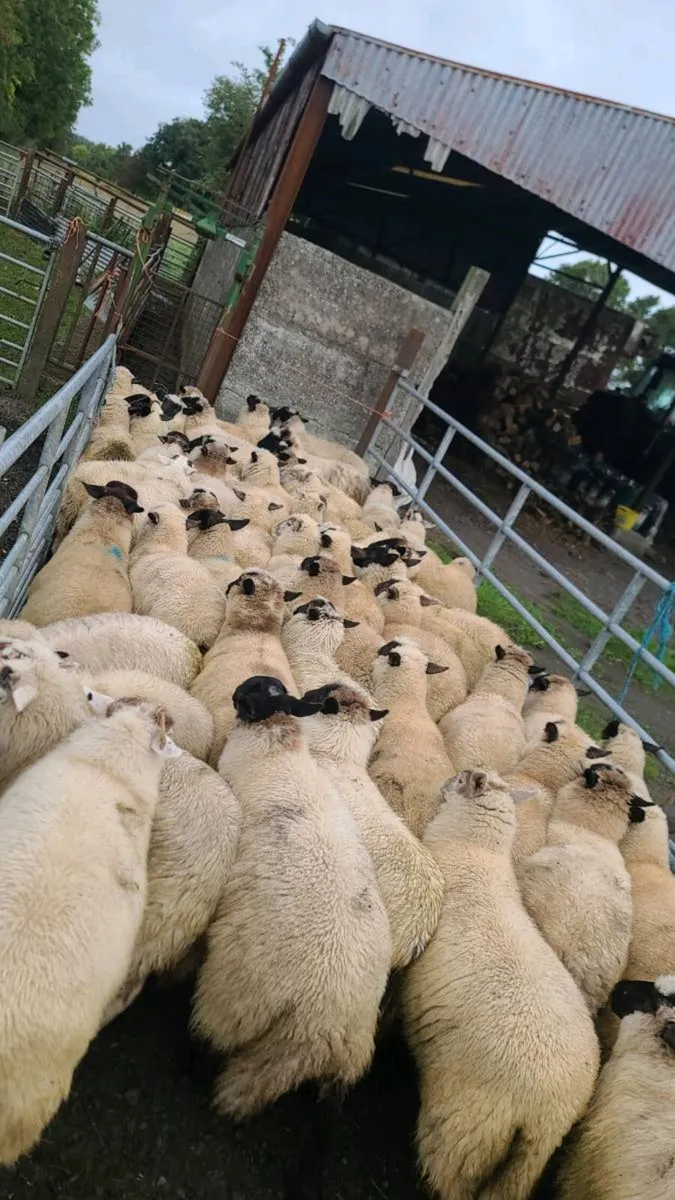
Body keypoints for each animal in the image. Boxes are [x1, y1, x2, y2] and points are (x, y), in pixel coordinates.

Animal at [193, 675, 391, 1117]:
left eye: (251, 694)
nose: (235, 693)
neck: (278, 742)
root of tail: (321, 1027)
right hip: (289, 1054)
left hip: (239, 998)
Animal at [401, 768, 600, 1200]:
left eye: (461, 778)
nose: (444, 783)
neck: (476, 852)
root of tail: (544, 1112)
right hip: (524, 1163)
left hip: (466, 1129)